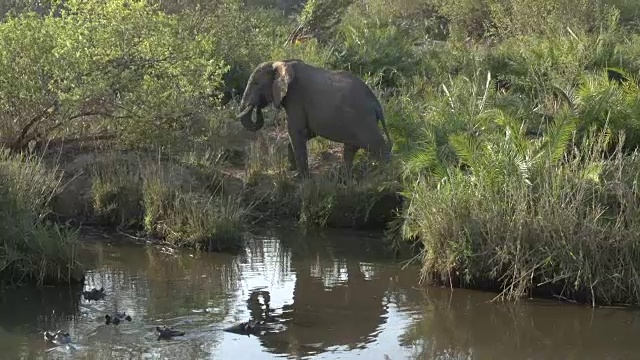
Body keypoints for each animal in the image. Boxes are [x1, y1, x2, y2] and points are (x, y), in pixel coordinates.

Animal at [236, 57, 392, 179]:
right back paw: (344, 177)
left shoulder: (295, 97)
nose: (257, 106)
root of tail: (376, 105)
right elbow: (307, 132)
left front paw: (300, 177)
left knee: (378, 146)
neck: (281, 62)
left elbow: (295, 130)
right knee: (350, 149)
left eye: (256, 84)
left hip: (363, 121)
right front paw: (293, 169)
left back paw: (386, 175)